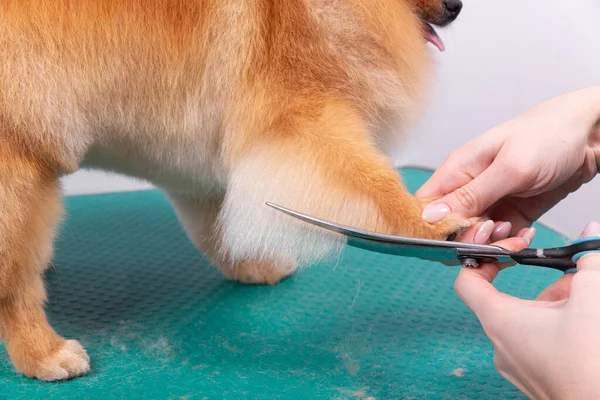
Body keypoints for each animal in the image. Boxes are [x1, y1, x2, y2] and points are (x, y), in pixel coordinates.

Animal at [0, 0, 468, 382]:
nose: (458, 4)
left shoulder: (188, 145)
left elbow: (215, 225)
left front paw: (252, 265)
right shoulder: (301, 117)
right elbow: (373, 179)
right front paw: (428, 221)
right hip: (19, 162)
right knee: (16, 278)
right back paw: (43, 353)